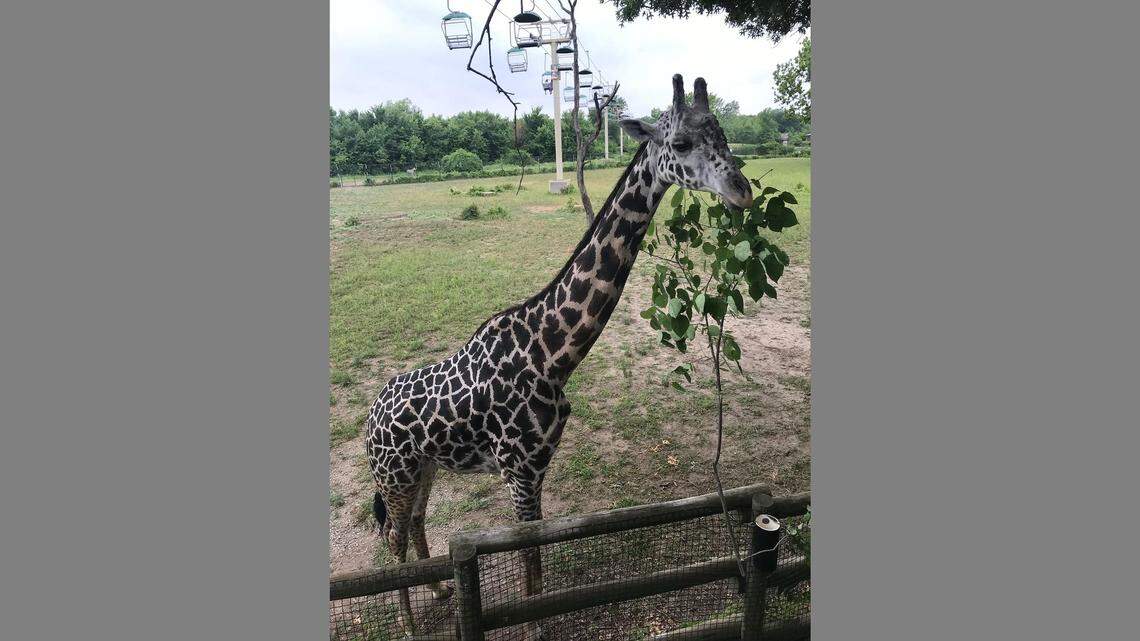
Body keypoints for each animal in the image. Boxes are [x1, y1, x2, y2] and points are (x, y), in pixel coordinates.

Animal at [365, 74, 753, 637]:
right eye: (679, 144)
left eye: (722, 134)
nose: (742, 191)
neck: (551, 355)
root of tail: (368, 420)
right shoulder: (518, 470)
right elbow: (528, 558)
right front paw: (533, 627)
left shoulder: (540, 466)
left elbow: (539, 554)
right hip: (394, 474)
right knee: (392, 535)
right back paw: (410, 624)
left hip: (424, 468)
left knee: (414, 522)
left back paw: (439, 588)